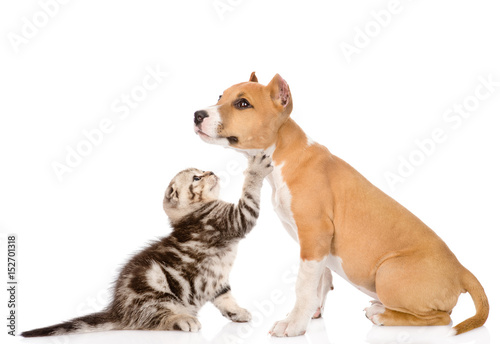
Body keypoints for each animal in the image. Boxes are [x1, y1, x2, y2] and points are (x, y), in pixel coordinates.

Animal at [21, 153, 274, 336]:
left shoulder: (217, 280)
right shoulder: (235, 218)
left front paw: (236, 312)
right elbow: (249, 193)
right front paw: (256, 168)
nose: (210, 172)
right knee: (153, 319)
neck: (191, 214)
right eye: (196, 178)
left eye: (202, 172)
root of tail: (118, 311)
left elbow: (225, 296)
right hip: (155, 288)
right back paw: (182, 319)